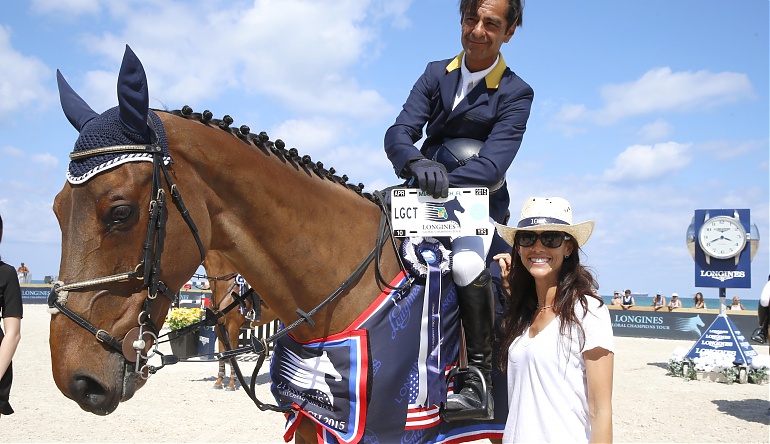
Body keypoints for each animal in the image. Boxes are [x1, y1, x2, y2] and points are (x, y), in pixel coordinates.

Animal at [49, 46, 504, 442]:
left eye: (120, 212)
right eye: (56, 210)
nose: (76, 380)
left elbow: (229, 348)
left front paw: (226, 382)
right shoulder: (309, 421)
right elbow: (227, 348)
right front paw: (222, 381)